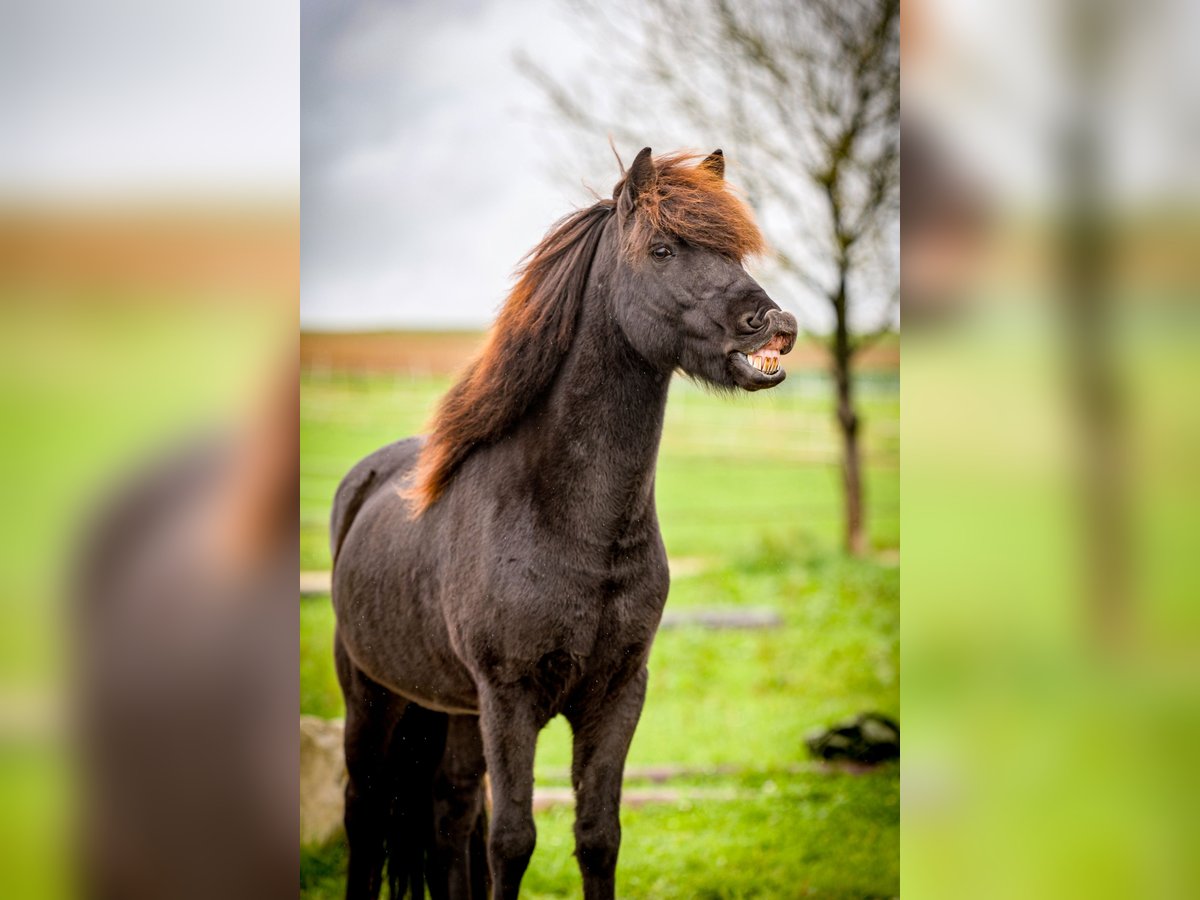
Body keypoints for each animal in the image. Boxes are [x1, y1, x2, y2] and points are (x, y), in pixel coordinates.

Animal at [330, 147, 798, 899]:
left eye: (733, 251)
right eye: (662, 249)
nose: (775, 324)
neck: (571, 526)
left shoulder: (617, 693)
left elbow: (598, 836)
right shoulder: (510, 699)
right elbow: (513, 840)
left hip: (455, 711)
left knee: (450, 812)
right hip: (372, 696)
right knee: (366, 811)